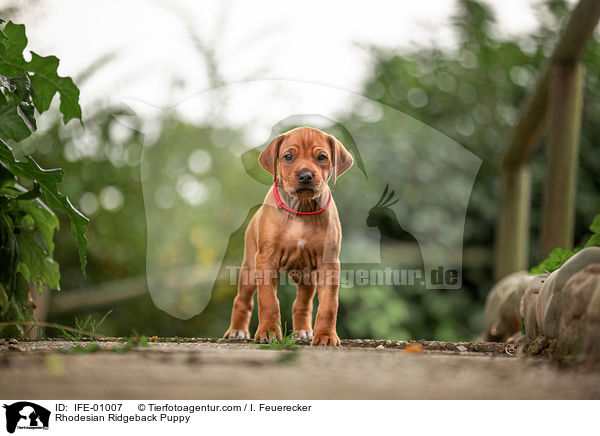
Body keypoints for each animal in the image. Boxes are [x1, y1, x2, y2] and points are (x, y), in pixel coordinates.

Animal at [225, 127, 356, 348]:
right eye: (288, 157)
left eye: (322, 157)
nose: (305, 176)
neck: (301, 209)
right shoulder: (266, 259)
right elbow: (268, 300)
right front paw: (268, 333)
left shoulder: (328, 263)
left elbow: (329, 304)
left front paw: (326, 335)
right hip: (250, 268)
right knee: (242, 299)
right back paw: (237, 331)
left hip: (306, 276)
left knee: (302, 303)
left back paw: (303, 332)